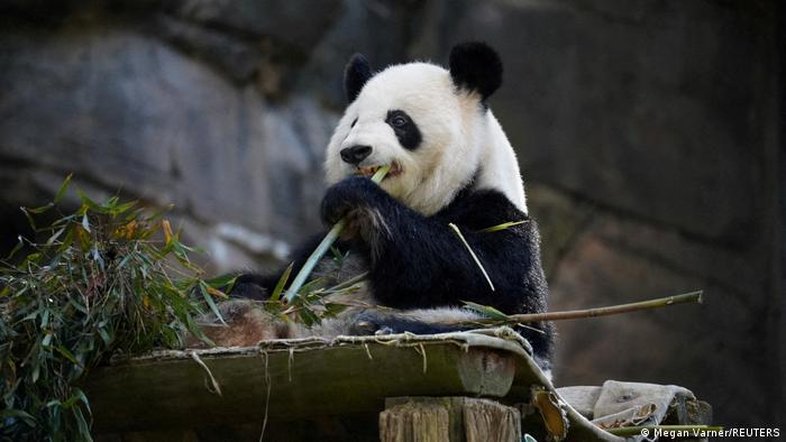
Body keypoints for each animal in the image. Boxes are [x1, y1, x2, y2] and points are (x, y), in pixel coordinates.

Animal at [228, 42, 554, 373]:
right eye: (354, 122)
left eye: (398, 121)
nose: (355, 151)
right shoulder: (329, 246)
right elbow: (282, 279)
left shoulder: (498, 216)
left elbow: (484, 278)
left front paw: (352, 195)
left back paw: (374, 325)